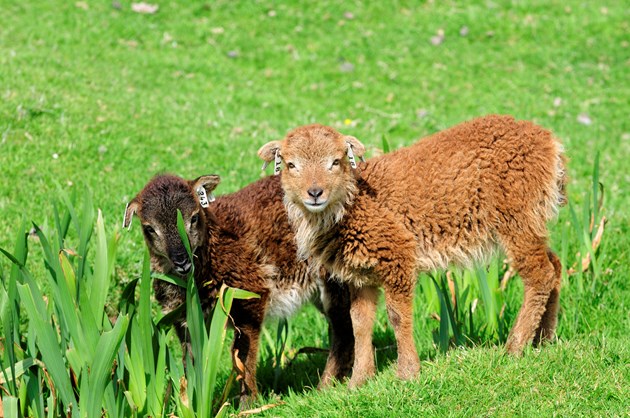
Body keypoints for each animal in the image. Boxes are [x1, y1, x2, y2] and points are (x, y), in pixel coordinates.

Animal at [122, 173, 356, 404]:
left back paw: (324, 388)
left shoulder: (249, 295)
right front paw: (185, 403)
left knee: (344, 330)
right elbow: (190, 362)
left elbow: (242, 356)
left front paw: (247, 404)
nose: (182, 260)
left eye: (194, 217)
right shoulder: (184, 319)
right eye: (149, 228)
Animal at [260, 115, 572, 388]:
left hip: (517, 215)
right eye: (291, 164)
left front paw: (407, 373)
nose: (315, 193)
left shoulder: (397, 255)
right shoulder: (360, 275)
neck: (353, 205)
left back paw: (515, 347)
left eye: (335, 162)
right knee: (555, 266)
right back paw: (544, 339)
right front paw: (359, 382)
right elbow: (360, 324)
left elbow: (397, 316)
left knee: (539, 274)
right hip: (532, 218)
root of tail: (550, 142)